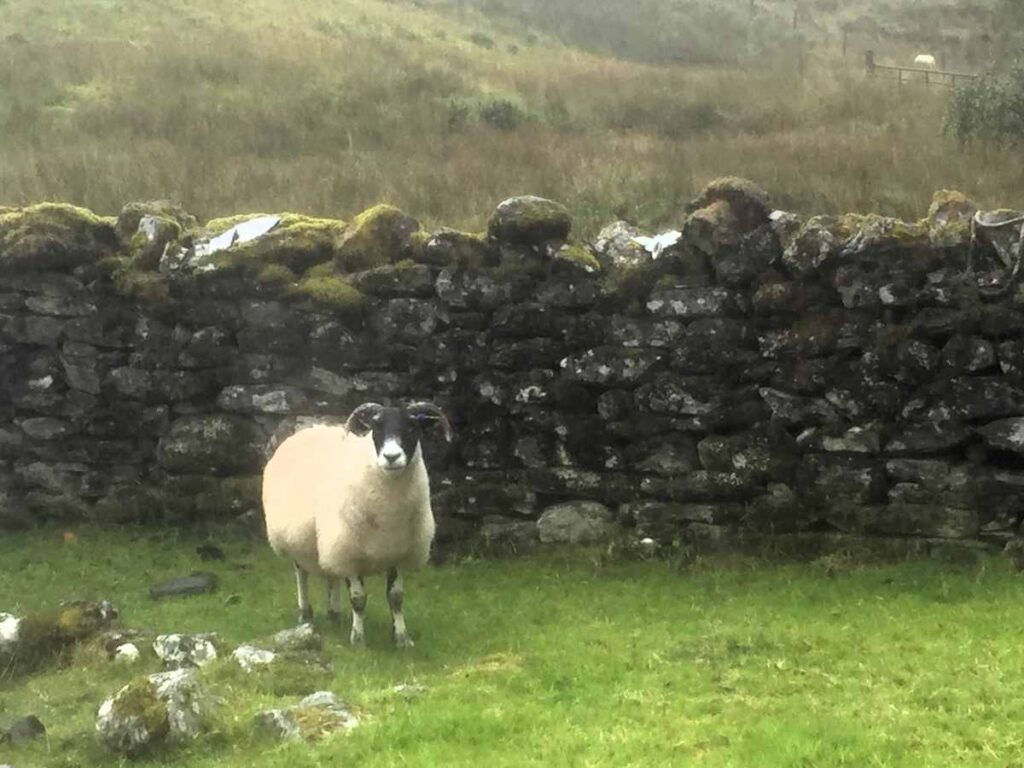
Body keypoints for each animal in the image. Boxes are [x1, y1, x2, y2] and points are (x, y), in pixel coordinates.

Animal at [264, 403, 452, 651]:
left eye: (413, 427)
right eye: (376, 428)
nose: (391, 457)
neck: (389, 516)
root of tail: (312, 428)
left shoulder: (398, 554)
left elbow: (396, 597)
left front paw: (402, 637)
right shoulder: (349, 553)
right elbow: (358, 599)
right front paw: (358, 640)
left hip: (327, 542)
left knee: (331, 574)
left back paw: (334, 614)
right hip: (303, 540)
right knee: (301, 574)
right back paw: (305, 614)